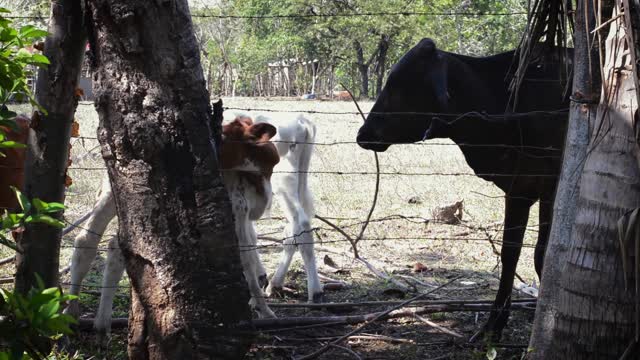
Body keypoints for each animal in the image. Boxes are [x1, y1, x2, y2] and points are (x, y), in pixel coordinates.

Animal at [358, 39, 572, 340]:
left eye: (401, 84)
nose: (363, 134)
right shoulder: (518, 190)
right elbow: (510, 254)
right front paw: (492, 326)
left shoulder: (548, 187)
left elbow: (543, 255)